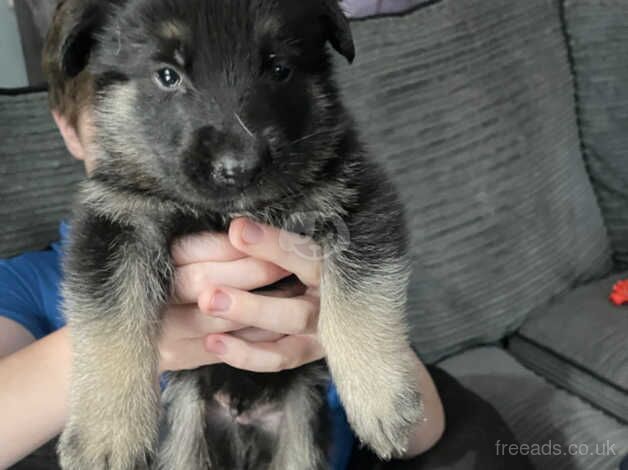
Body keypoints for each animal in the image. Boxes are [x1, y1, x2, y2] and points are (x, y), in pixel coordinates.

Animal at [47, 0, 422, 470]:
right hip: (187, 428)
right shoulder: (118, 222)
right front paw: (108, 431)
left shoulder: (357, 201)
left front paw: (381, 396)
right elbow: (108, 323)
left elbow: (358, 302)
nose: (238, 168)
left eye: (279, 68)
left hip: (299, 430)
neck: (224, 213)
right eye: (167, 75)